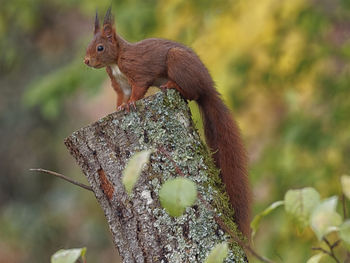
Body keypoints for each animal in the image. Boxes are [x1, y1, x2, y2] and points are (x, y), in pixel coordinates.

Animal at [85, 8, 252, 237]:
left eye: (100, 47)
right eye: (89, 45)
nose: (86, 61)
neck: (116, 61)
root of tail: (208, 87)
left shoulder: (138, 72)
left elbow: (138, 89)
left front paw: (131, 104)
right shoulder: (120, 85)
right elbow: (121, 97)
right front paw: (118, 108)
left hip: (177, 62)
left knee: (191, 93)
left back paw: (173, 85)